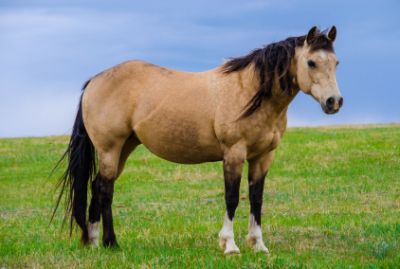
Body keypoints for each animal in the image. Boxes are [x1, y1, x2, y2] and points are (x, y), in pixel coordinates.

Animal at [54, 26, 344, 253]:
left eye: (336, 63)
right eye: (311, 62)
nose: (334, 102)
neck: (249, 92)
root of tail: (94, 81)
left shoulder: (263, 157)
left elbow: (256, 199)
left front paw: (258, 245)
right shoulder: (234, 153)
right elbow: (232, 198)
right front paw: (229, 245)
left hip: (124, 148)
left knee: (98, 186)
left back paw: (93, 241)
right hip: (110, 149)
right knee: (105, 190)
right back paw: (110, 243)